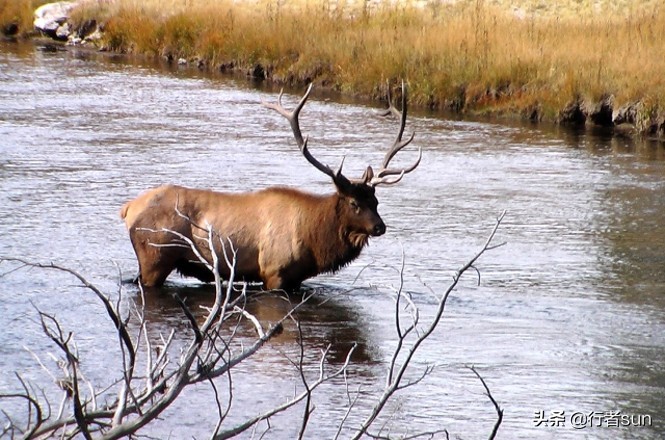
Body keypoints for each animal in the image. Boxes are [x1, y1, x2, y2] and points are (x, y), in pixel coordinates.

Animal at [119, 82, 420, 290]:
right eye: (355, 203)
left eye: (376, 201)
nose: (380, 227)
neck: (315, 239)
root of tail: (128, 208)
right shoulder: (274, 272)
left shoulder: (296, 279)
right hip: (154, 258)